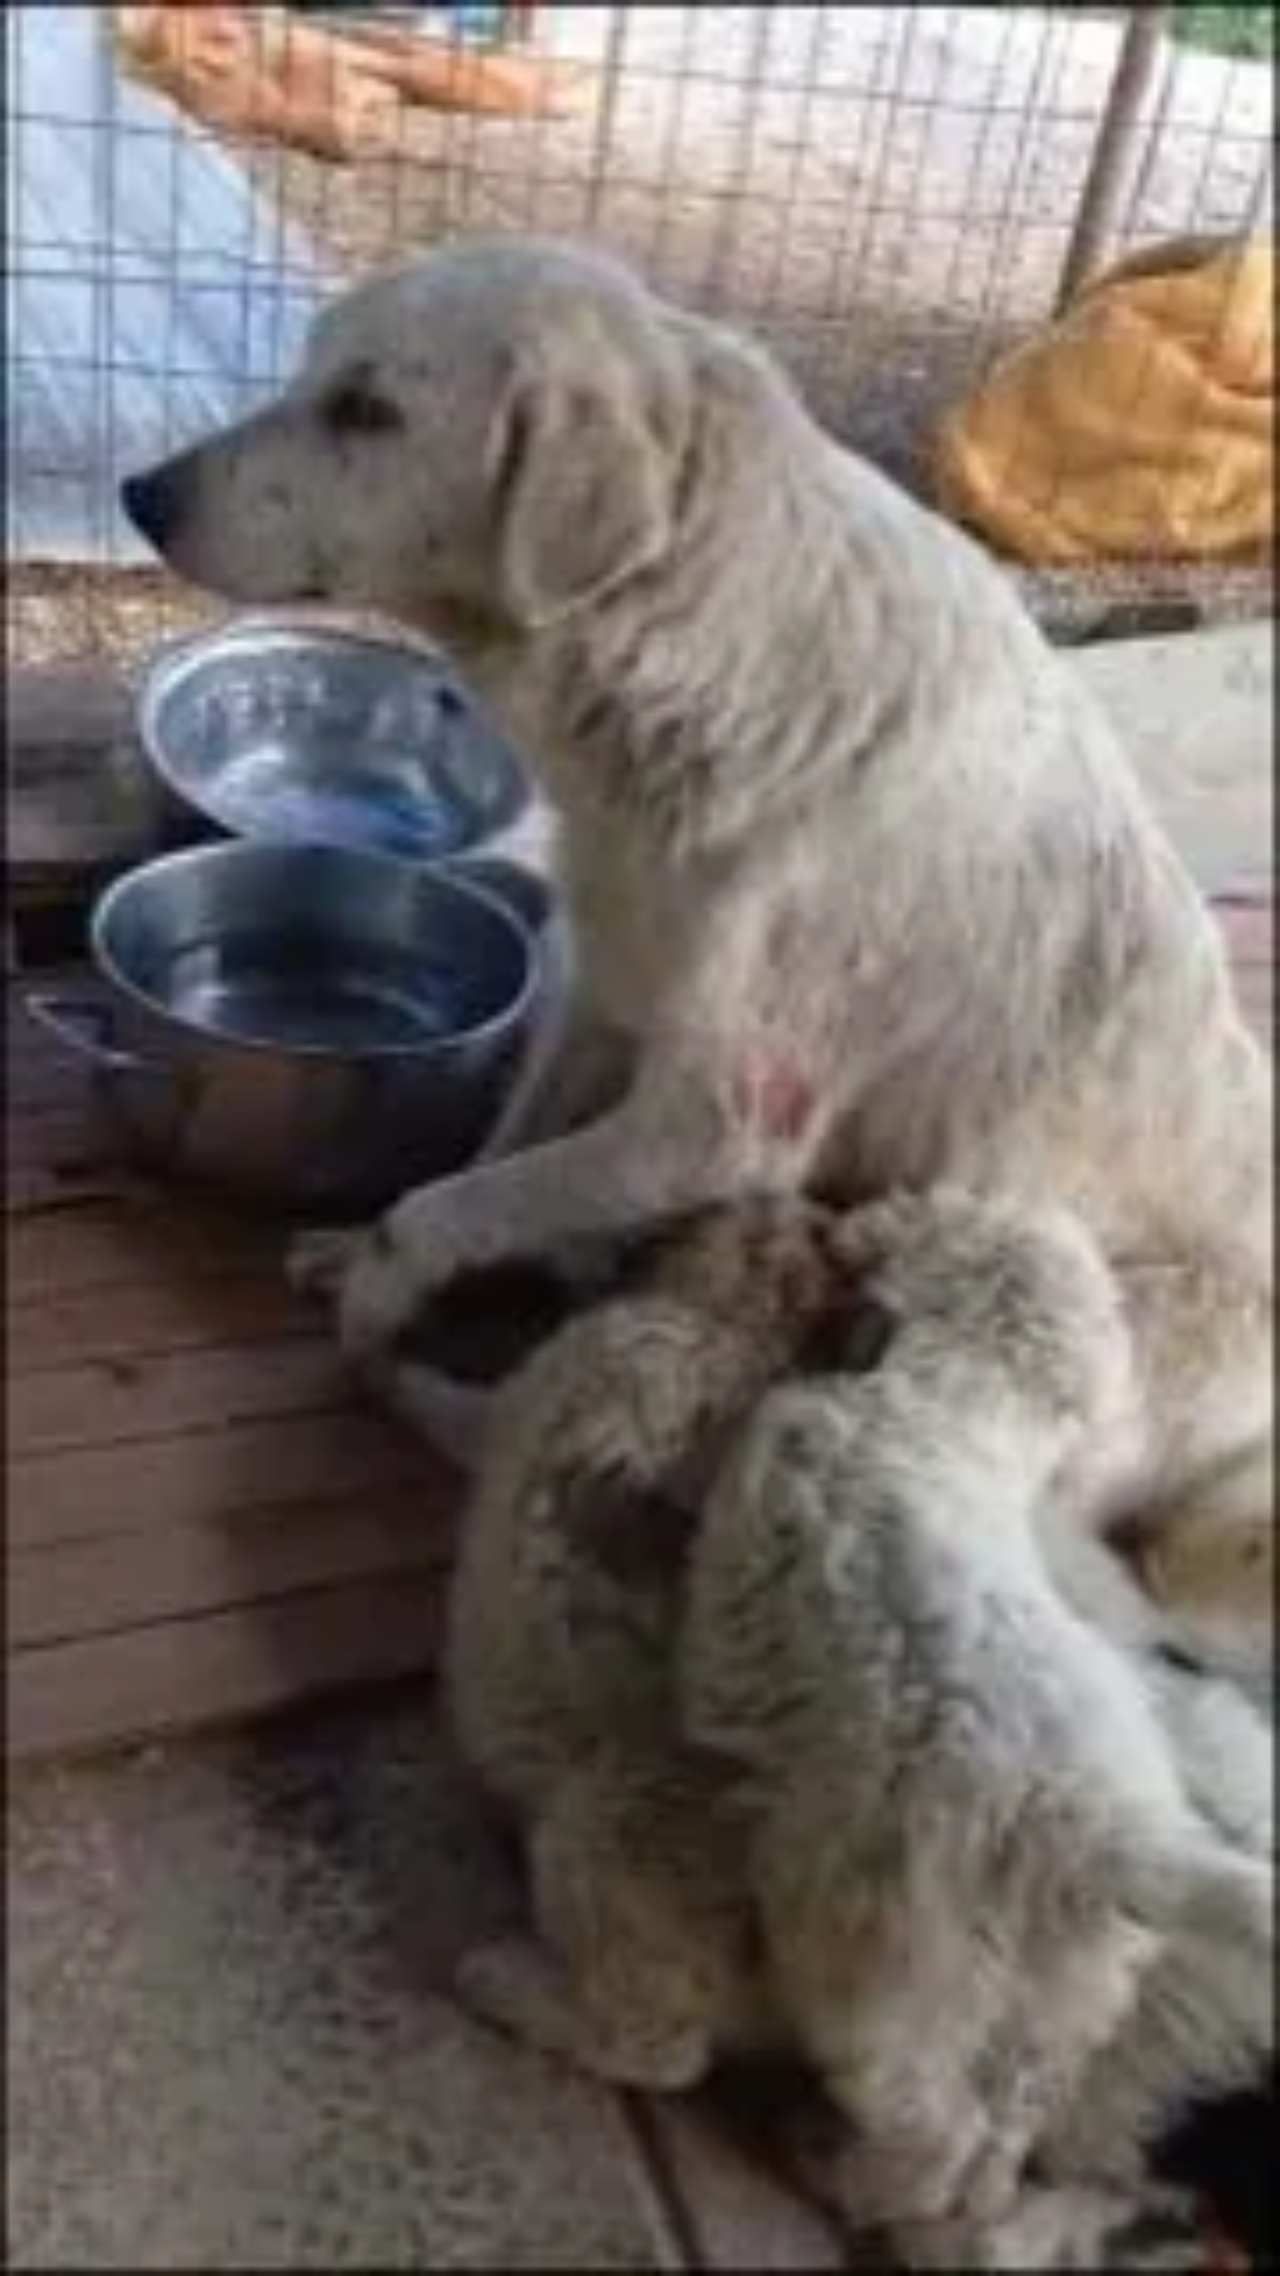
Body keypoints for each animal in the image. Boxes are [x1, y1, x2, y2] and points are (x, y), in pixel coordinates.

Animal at [121, 235, 1266, 1656]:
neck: (694, 640)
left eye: (366, 410)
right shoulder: (600, 990)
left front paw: (383, 1292)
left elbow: (449, 1206)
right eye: (310, 375)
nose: (138, 495)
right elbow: (489, 1153)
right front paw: (369, 1248)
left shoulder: (720, 1120)